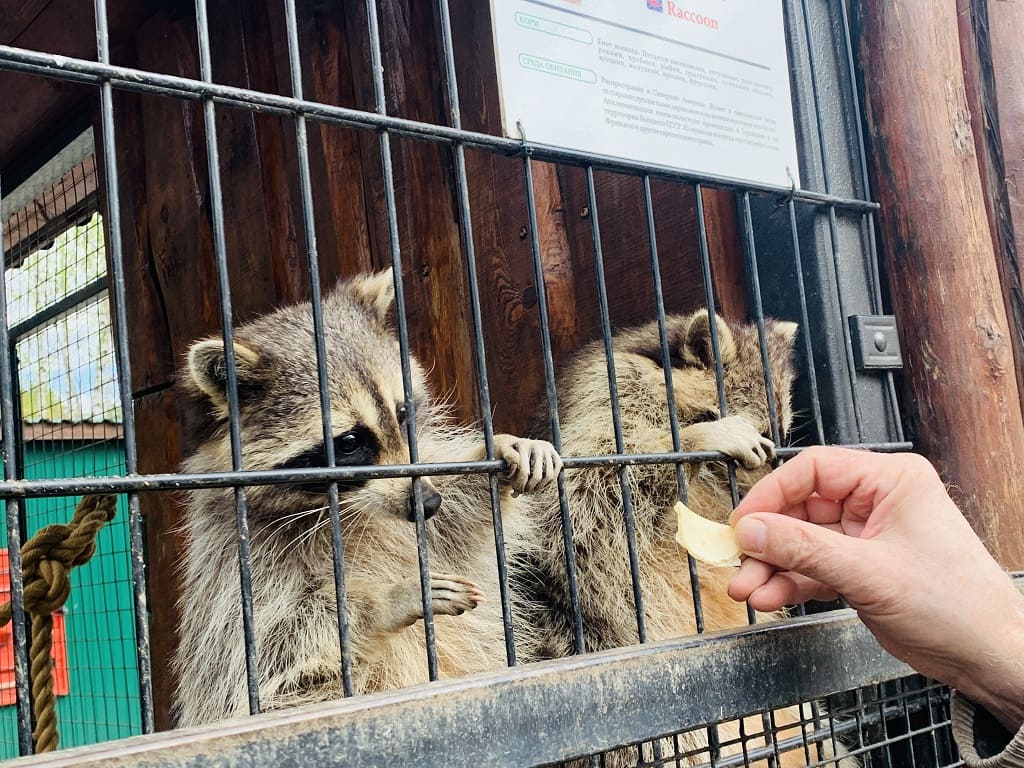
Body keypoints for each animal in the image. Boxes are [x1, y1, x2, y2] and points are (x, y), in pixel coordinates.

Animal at [173, 270, 565, 729]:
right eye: (349, 442)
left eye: (402, 413)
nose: (426, 505)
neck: (341, 508)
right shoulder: (235, 564)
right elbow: (277, 643)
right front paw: (385, 599)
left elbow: (457, 520)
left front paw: (498, 451)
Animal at [516, 309, 835, 765]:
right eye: (757, 432)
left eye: (783, 434)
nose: (770, 495)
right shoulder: (607, 403)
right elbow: (581, 496)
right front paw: (697, 439)